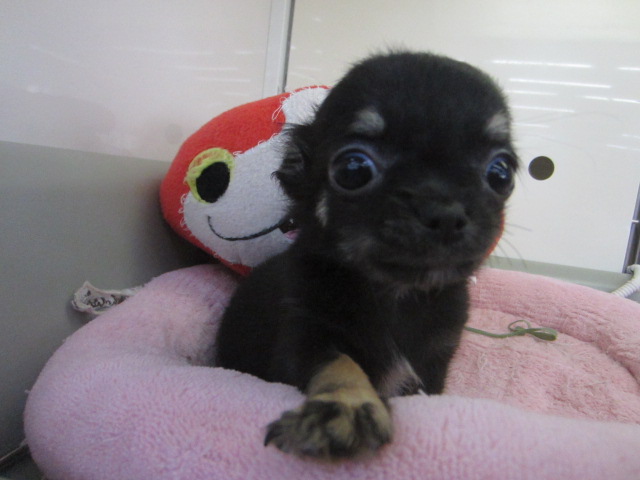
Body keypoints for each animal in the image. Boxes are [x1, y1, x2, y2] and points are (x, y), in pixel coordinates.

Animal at [214, 51, 517, 460]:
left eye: (501, 174)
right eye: (353, 169)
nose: (446, 212)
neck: (395, 294)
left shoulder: (434, 364)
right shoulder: (306, 334)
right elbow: (340, 363)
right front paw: (347, 408)